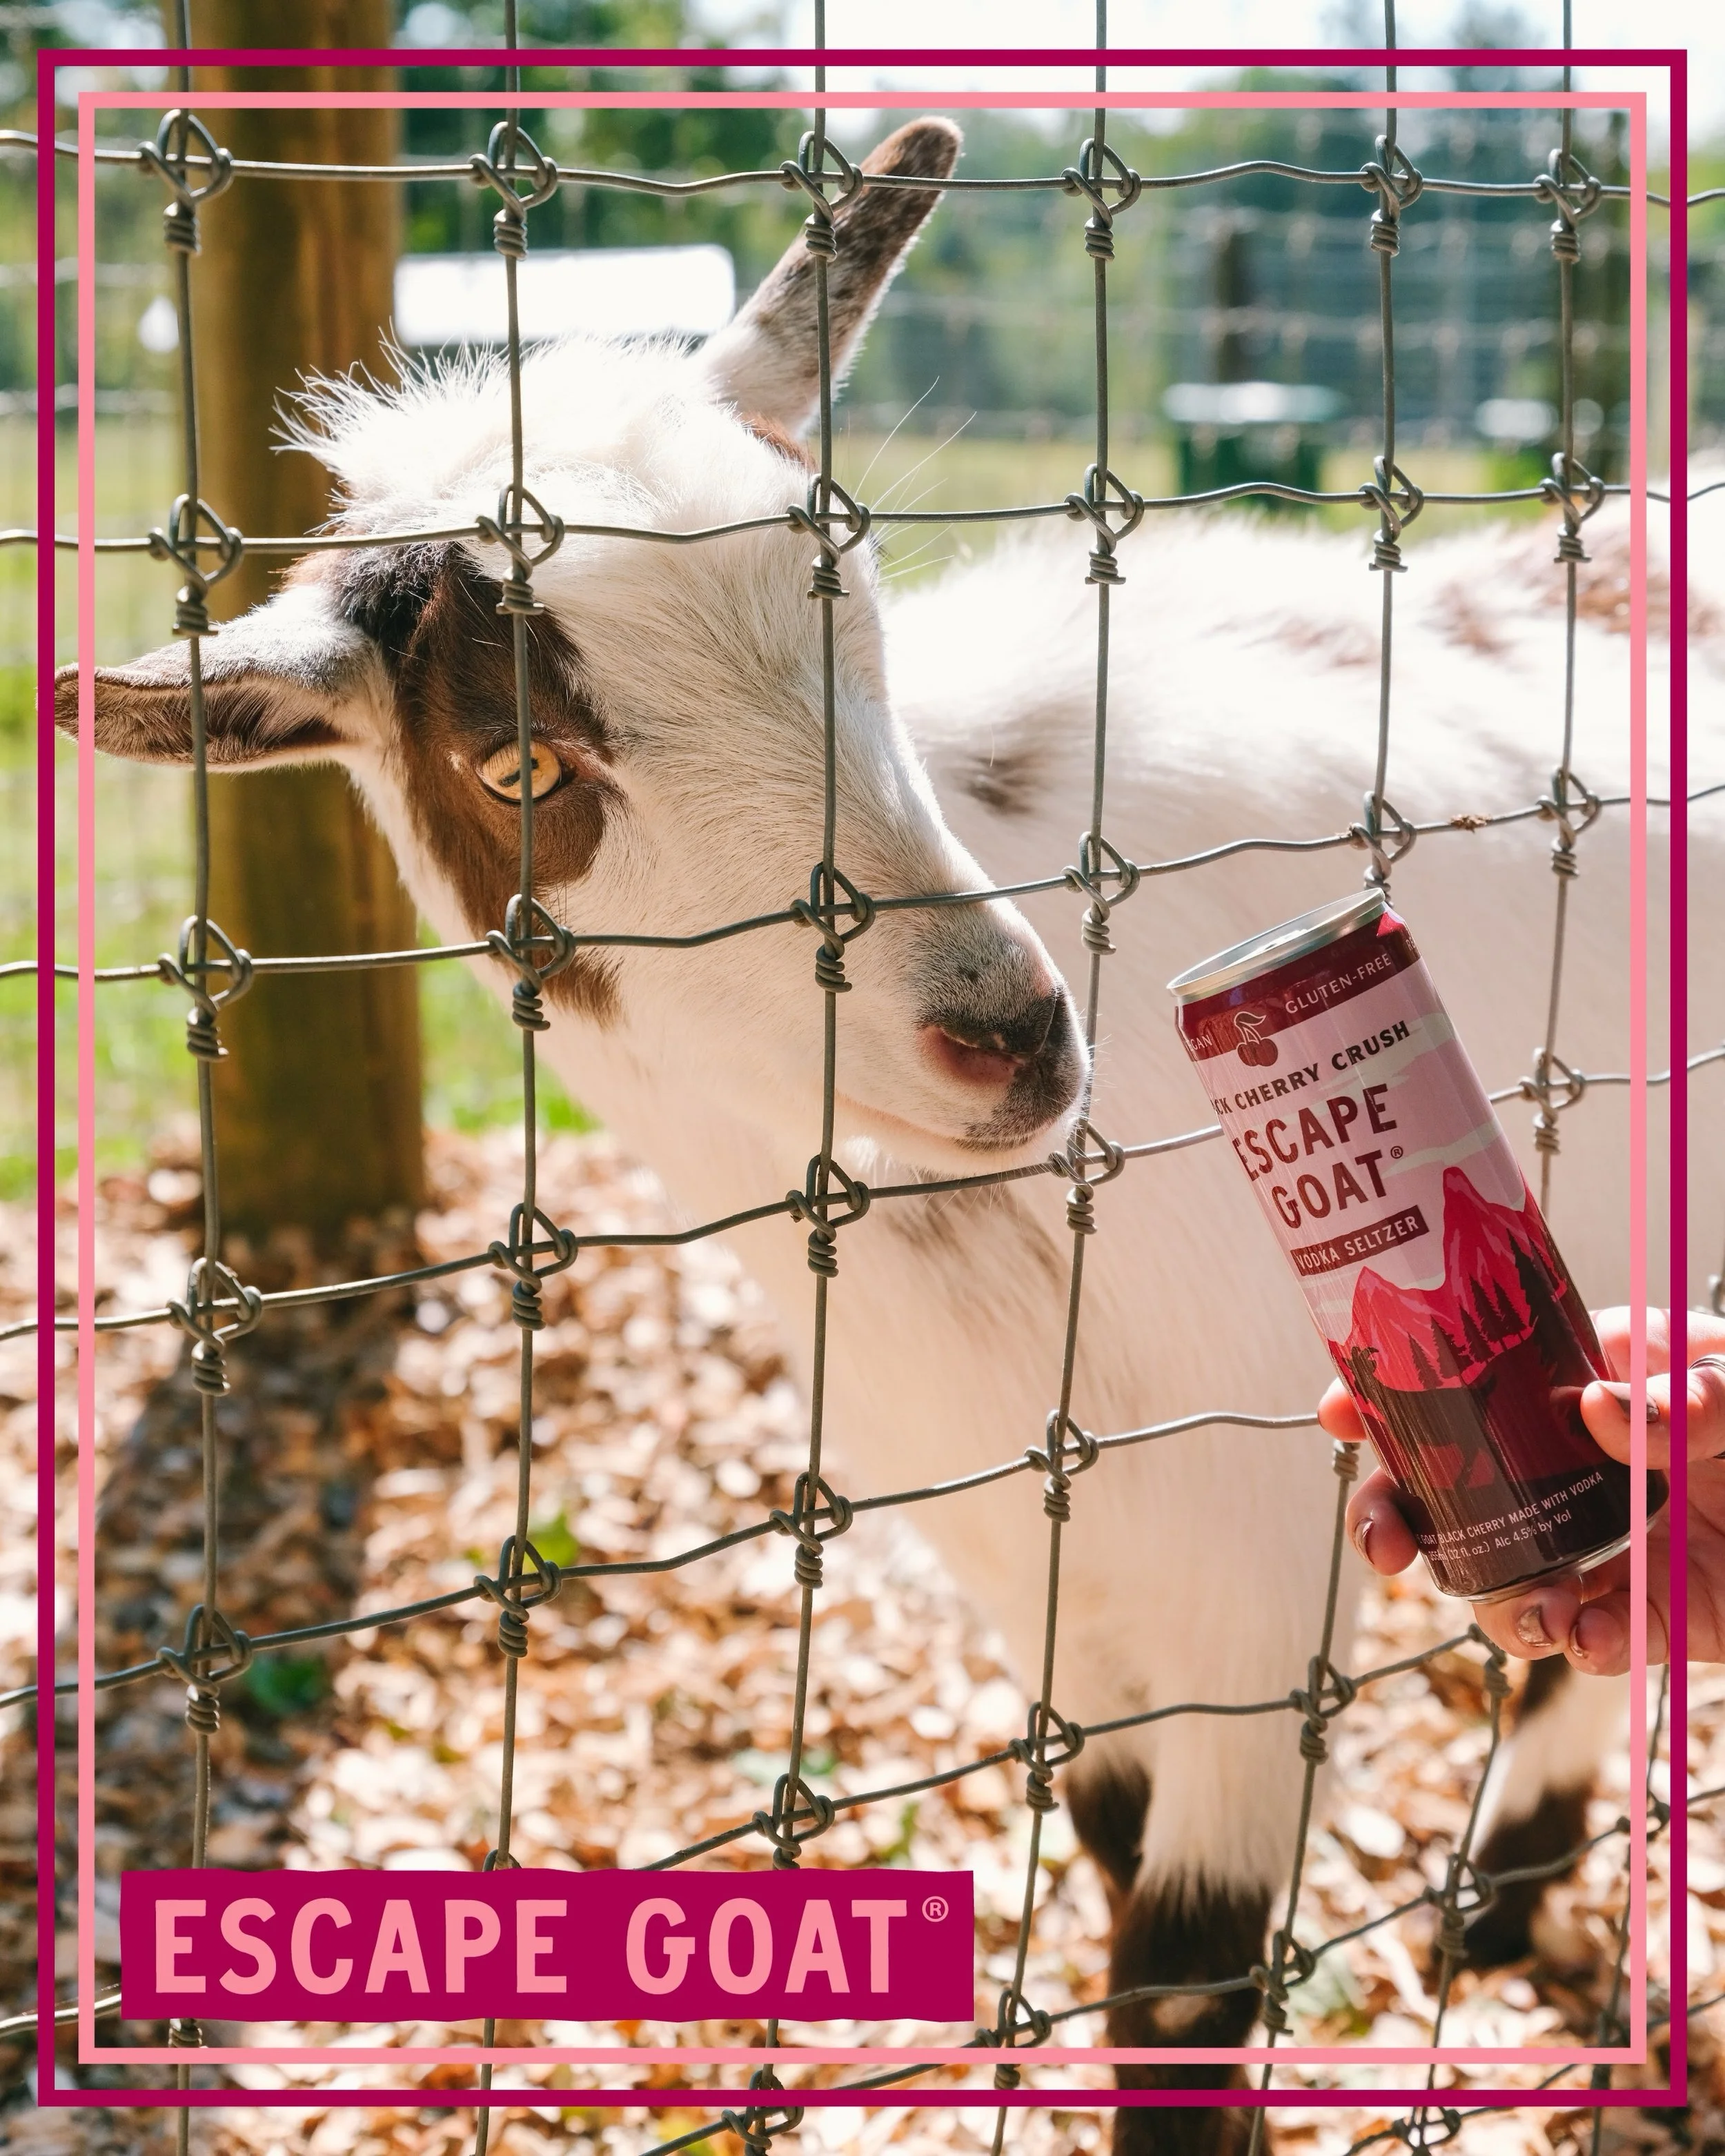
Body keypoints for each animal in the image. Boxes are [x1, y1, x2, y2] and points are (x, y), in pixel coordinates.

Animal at [58, 117, 1718, 2154]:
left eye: (852, 598)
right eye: (516, 766)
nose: (1007, 1030)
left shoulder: (1261, 1549)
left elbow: (1182, 1981)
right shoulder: (1047, 1569)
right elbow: (1110, 1840)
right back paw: (1504, 1878)